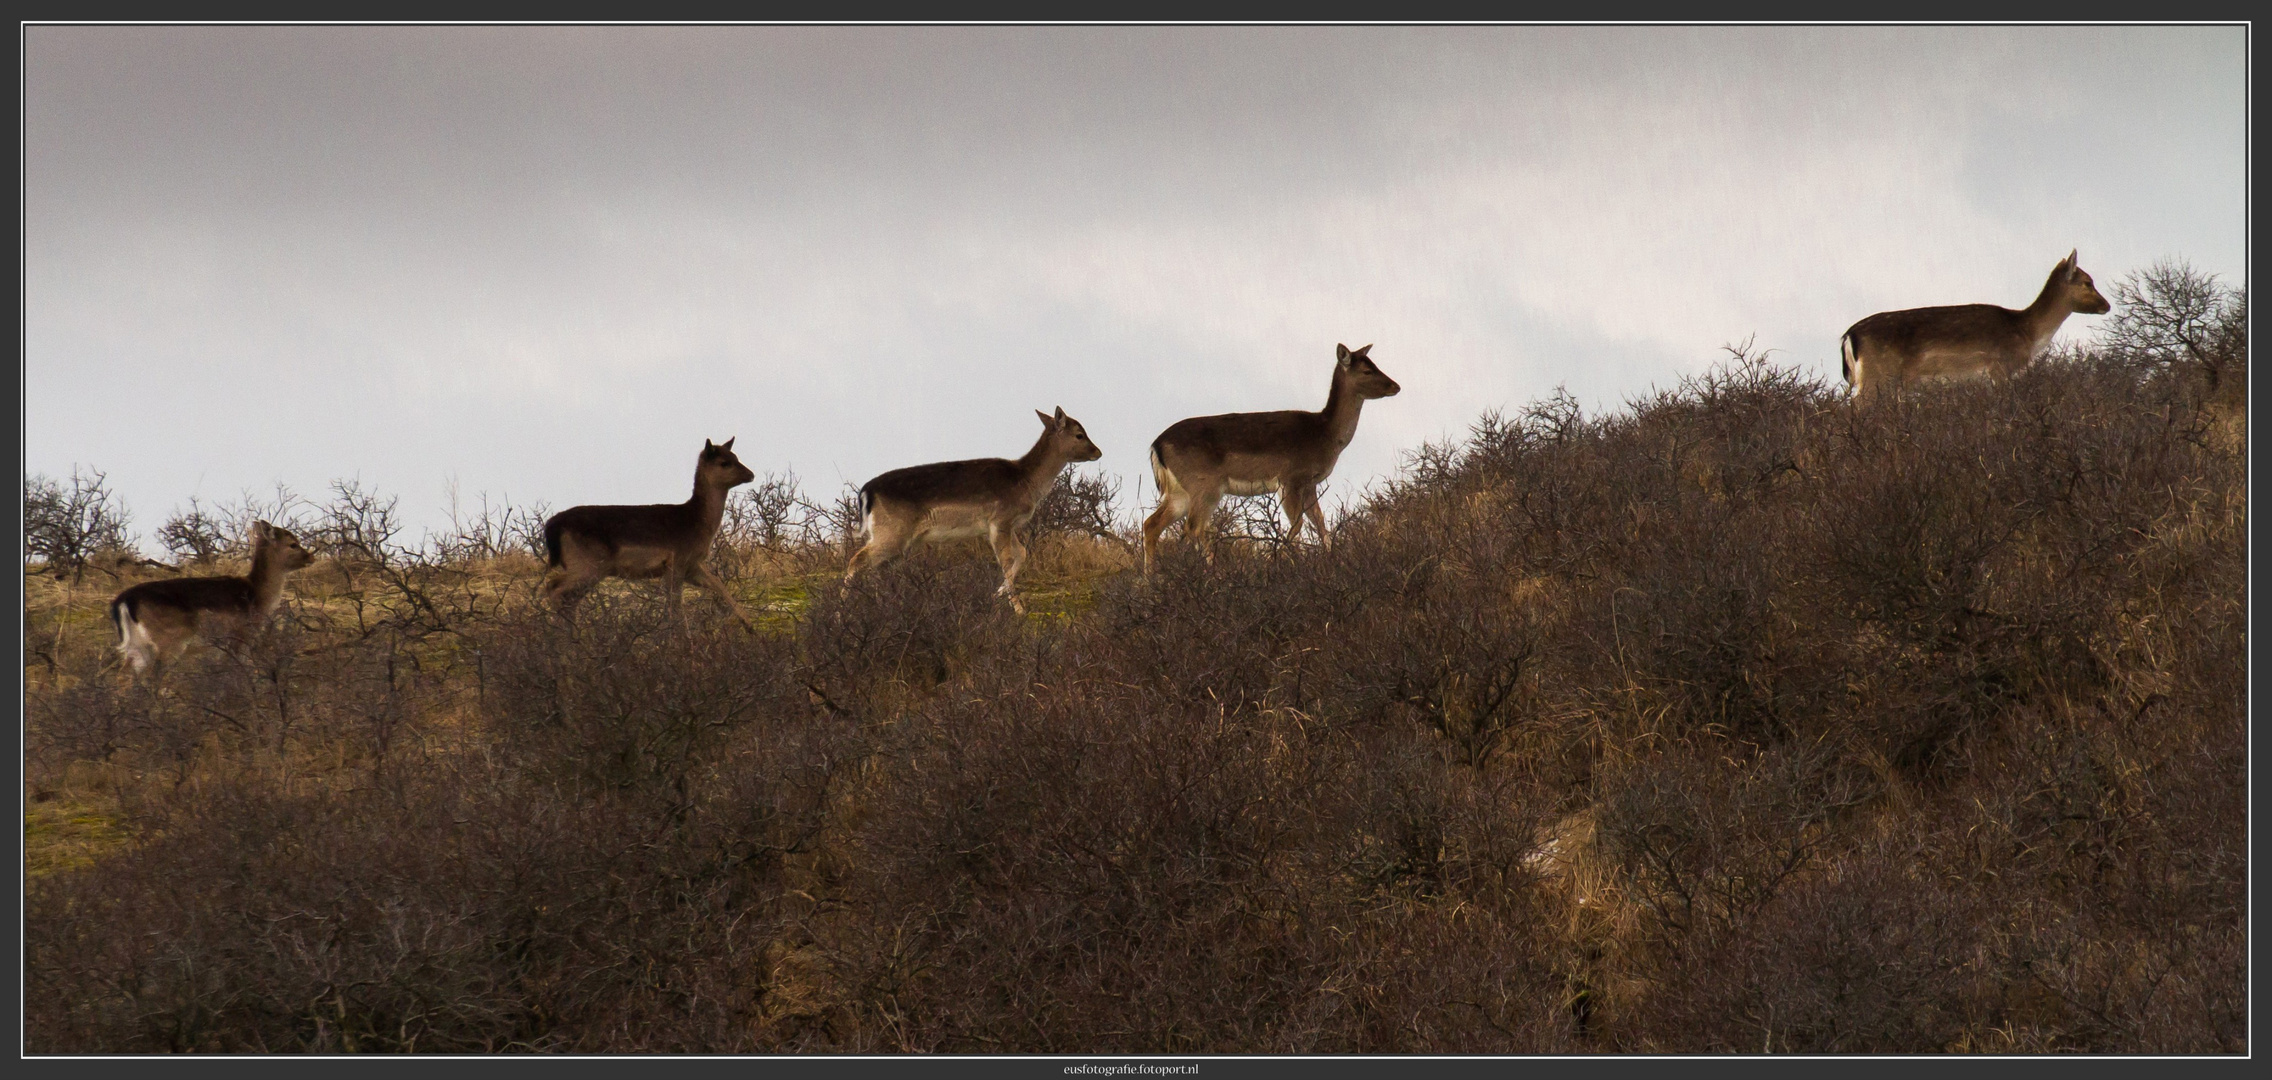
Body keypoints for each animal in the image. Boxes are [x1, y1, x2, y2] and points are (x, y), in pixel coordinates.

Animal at [110, 522, 318, 682]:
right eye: (293, 544)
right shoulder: (240, 635)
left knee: (124, 675)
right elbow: (237, 670)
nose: (312, 557)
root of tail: (124, 600)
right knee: (153, 676)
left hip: (137, 644)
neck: (257, 597)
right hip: (170, 639)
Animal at [543, 436, 758, 632]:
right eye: (724, 463)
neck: (697, 524)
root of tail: (552, 526)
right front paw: (681, 639)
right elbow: (675, 605)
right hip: (588, 562)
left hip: (589, 567)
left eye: (736, 456)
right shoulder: (677, 560)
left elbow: (719, 585)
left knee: (569, 597)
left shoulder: (692, 565)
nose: (751, 474)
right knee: (554, 587)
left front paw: (749, 625)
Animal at [849, 404, 1104, 613]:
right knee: (857, 561)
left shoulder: (1008, 525)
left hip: (890, 538)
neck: (1026, 481)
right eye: (1079, 434)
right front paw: (1018, 609)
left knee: (875, 567)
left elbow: (1022, 554)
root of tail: (866, 492)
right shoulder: (1000, 520)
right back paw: (844, 609)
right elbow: (1006, 561)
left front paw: (996, 595)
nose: (1098, 452)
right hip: (892, 533)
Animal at [1136, 343, 1399, 575]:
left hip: (1179, 492)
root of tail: (1156, 446)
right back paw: (1216, 577)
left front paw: (1333, 563)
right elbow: (1298, 526)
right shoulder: (1290, 479)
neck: (1325, 434)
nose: (1395, 386)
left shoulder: (1310, 484)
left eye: (1374, 364)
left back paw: (1150, 582)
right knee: (1194, 527)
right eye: (1366, 371)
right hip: (1205, 485)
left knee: (1151, 524)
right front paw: (1277, 562)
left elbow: (1321, 525)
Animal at [1844, 251, 2108, 400]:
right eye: (2088, 282)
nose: (2107, 305)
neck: (2028, 333)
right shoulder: (1999, 367)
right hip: (1876, 376)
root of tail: (1849, 335)